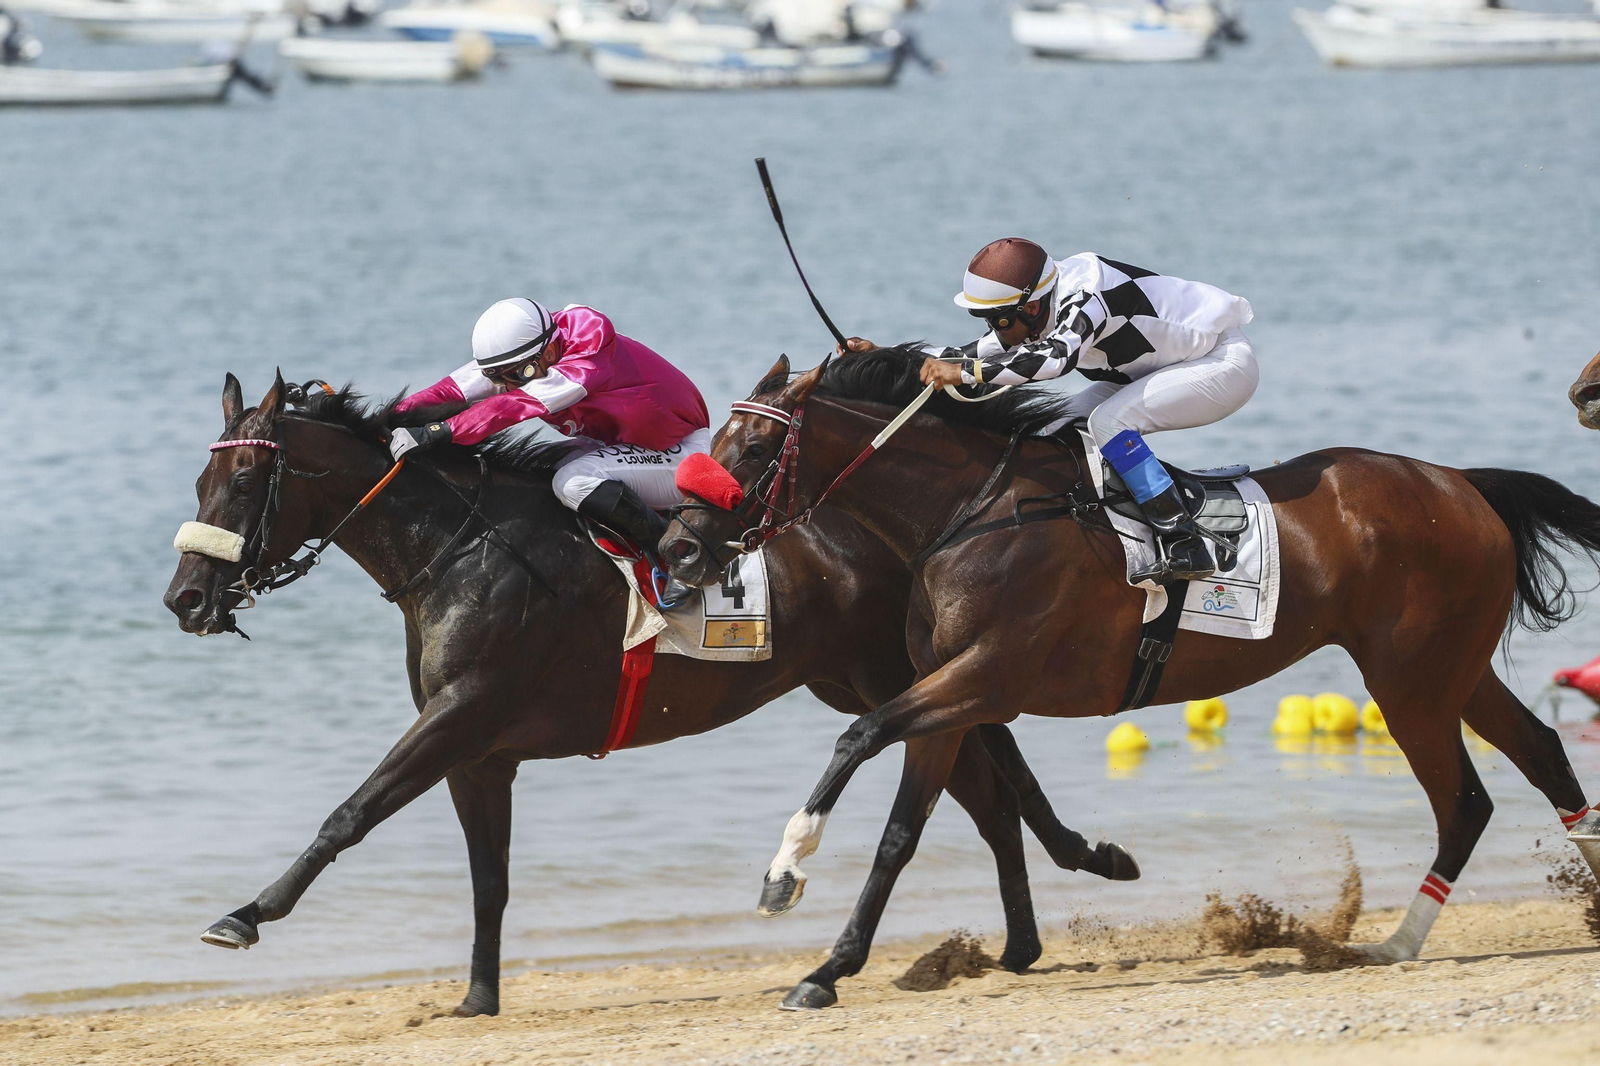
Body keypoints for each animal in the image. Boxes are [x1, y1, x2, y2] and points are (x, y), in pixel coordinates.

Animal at [163, 372, 1138, 1018]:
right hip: (878, 675)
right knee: (985, 783)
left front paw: (245, 916)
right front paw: (477, 997)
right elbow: (489, 877)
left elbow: (349, 814)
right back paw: (1033, 924)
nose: (185, 600)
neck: (458, 547)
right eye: (200, 481)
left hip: (891, 674)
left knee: (980, 783)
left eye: (244, 483)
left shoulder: (460, 717)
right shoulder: (479, 753)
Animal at [662, 345, 1600, 1009]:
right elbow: (902, 833)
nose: (677, 550)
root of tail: (1461, 484)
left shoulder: (987, 678)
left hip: (1410, 683)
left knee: (1465, 801)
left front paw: (786, 870)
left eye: (753, 449)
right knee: (1539, 754)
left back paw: (1398, 942)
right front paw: (830, 967)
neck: (974, 513)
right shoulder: (948, 697)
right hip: (1448, 671)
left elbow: (858, 736)